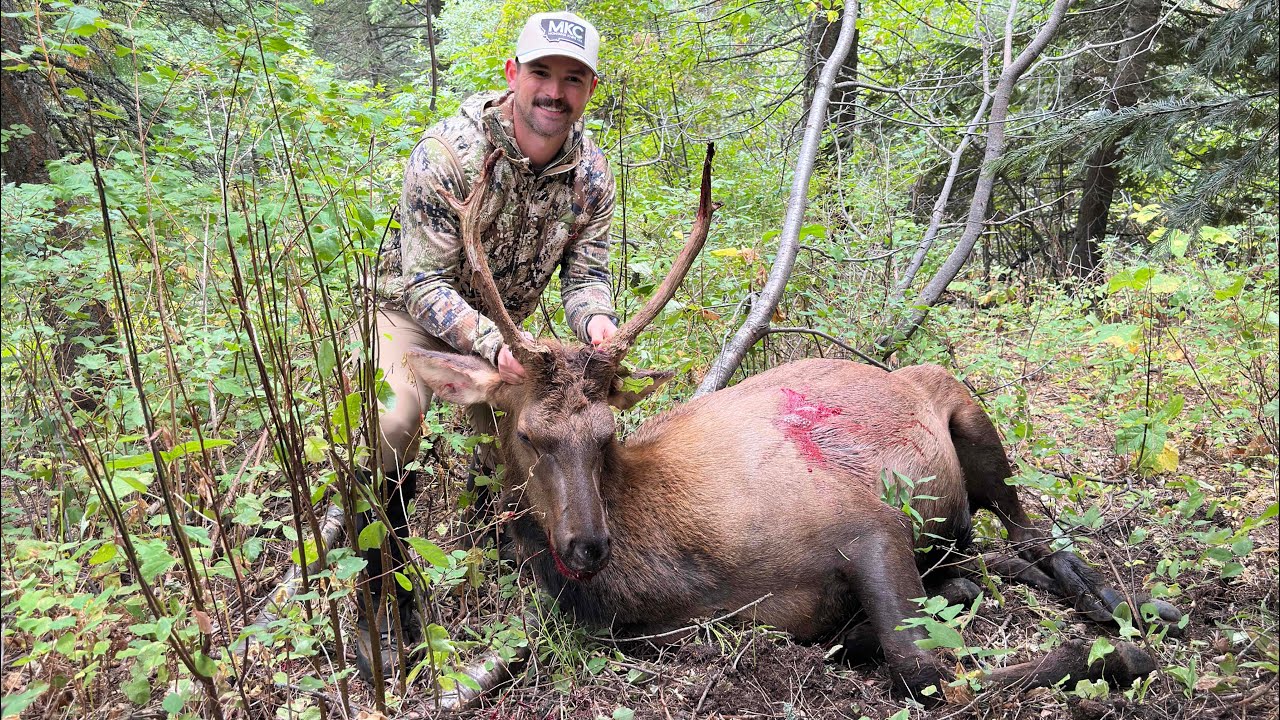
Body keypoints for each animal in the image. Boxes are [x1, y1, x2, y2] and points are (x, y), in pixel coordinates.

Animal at [403, 145, 1179, 701]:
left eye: (607, 434)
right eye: (527, 434)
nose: (588, 544)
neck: (674, 574)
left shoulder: (868, 524)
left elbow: (927, 670)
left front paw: (1118, 657)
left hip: (968, 413)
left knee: (1035, 534)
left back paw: (1134, 608)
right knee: (998, 554)